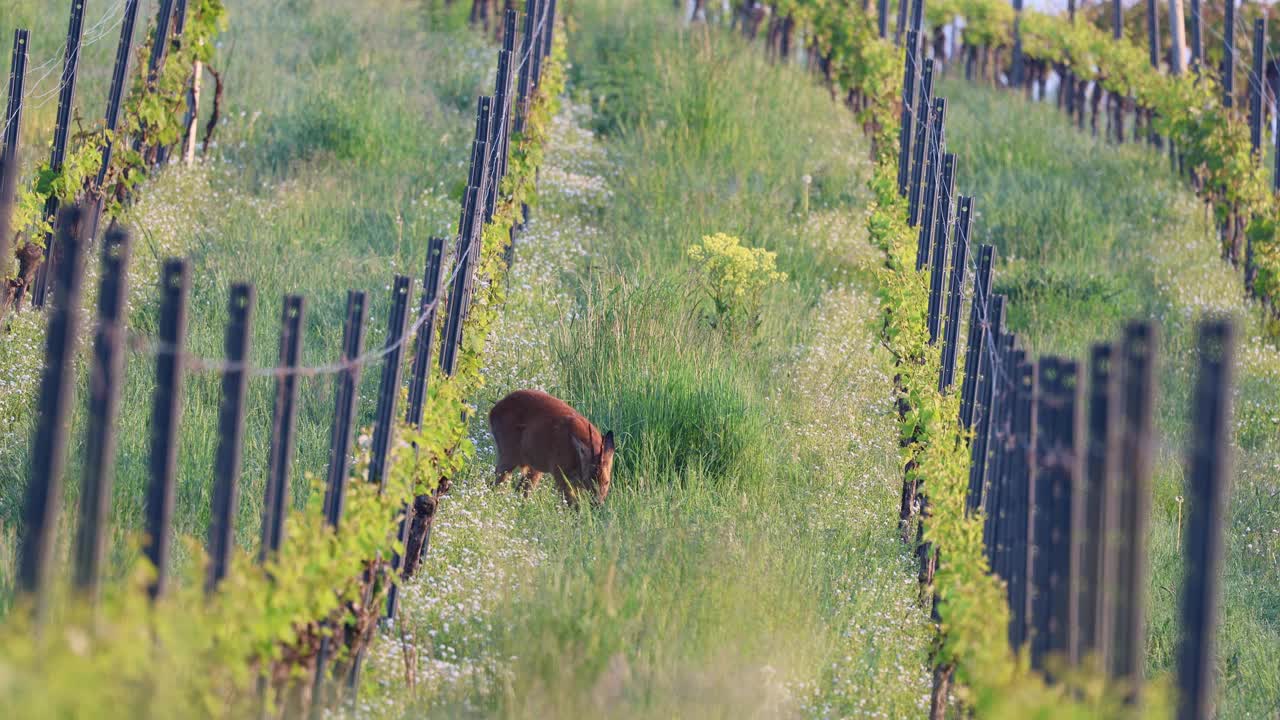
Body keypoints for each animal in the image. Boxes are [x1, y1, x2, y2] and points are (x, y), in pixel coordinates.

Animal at [483, 386, 614, 504]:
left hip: (533, 464)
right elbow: (570, 504)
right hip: (508, 453)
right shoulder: (559, 471)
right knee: (495, 483)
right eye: (590, 479)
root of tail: (494, 409)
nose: (598, 503)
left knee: (520, 490)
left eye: (607, 482)